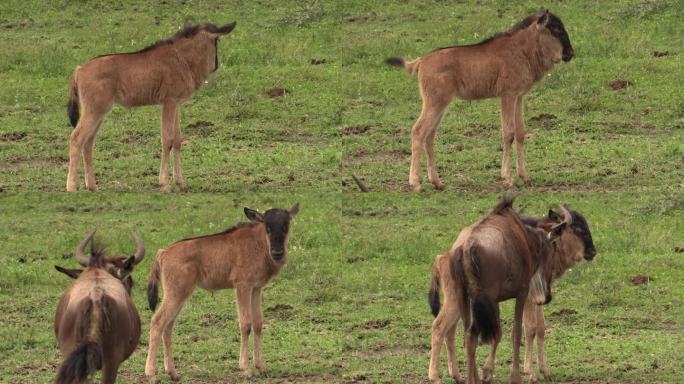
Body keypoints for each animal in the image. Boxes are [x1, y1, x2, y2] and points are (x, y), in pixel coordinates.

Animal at [66, 21, 236, 192]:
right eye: (217, 40)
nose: (216, 65)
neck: (181, 58)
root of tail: (79, 69)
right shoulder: (169, 102)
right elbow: (167, 139)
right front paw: (164, 184)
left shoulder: (176, 103)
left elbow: (177, 140)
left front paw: (180, 183)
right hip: (94, 111)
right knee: (76, 138)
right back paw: (72, 186)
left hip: (100, 112)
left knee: (88, 142)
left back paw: (92, 186)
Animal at [146, 204, 298, 380]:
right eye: (267, 227)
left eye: (286, 225)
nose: (278, 253)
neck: (258, 244)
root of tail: (163, 252)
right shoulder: (242, 286)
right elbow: (246, 323)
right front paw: (245, 369)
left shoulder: (256, 289)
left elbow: (258, 323)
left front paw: (261, 367)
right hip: (175, 294)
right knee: (157, 322)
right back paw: (151, 373)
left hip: (179, 295)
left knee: (168, 326)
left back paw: (173, 373)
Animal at [388, 11, 576, 191]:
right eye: (557, 29)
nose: (570, 53)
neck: (521, 49)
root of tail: (421, 61)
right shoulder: (507, 96)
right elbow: (509, 133)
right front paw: (507, 179)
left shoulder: (519, 96)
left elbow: (521, 133)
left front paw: (525, 176)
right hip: (434, 103)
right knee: (419, 132)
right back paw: (415, 183)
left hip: (440, 105)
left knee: (430, 135)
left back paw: (437, 182)